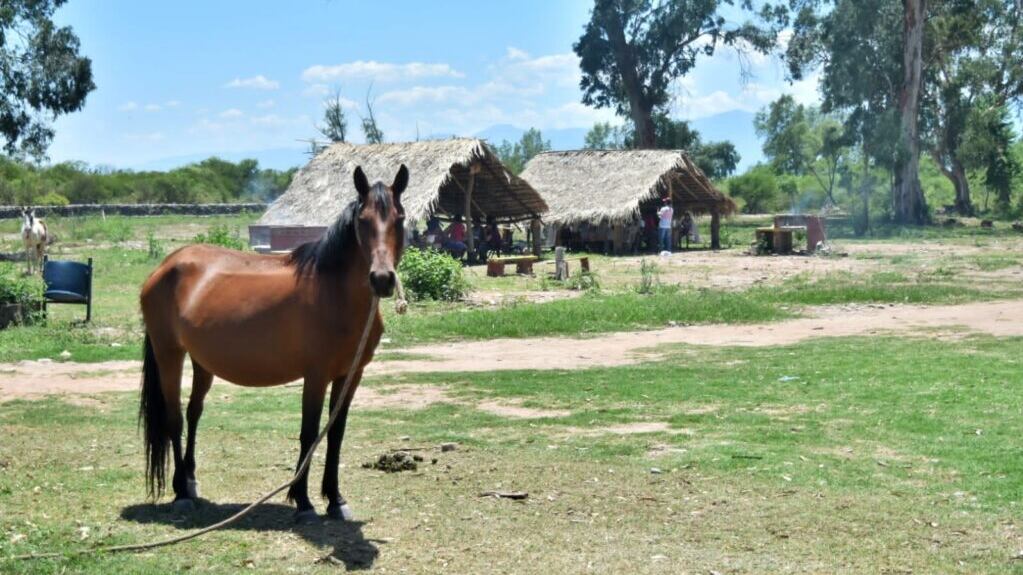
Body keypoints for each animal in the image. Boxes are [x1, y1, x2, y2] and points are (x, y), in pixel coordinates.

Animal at [139, 164, 407, 519]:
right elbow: (310, 432)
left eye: (400, 218)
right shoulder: (316, 375)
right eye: (362, 220)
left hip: (201, 362)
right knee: (175, 418)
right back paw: (181, 491)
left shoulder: (350, 375)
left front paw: (335, 500)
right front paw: (303, 500)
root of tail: (166, 265)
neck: (335, 295)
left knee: (194, 412)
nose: (382, 279)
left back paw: (191, 482)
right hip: (169, 354)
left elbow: (335, 433)